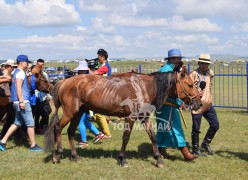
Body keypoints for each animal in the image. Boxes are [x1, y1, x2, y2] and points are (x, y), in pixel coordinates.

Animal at [44, 64, 202, 167]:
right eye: (190, 84)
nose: (199, 103)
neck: (143, 87)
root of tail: (64, 81)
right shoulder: (130, 118)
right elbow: (126, 138)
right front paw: (122, 159)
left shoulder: (145, 118)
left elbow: (153, 137)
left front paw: (158, 160)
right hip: (70, 112)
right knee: (58, 128)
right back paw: (57, 155)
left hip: (78, 113)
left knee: (70, 131)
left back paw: (75, 156)